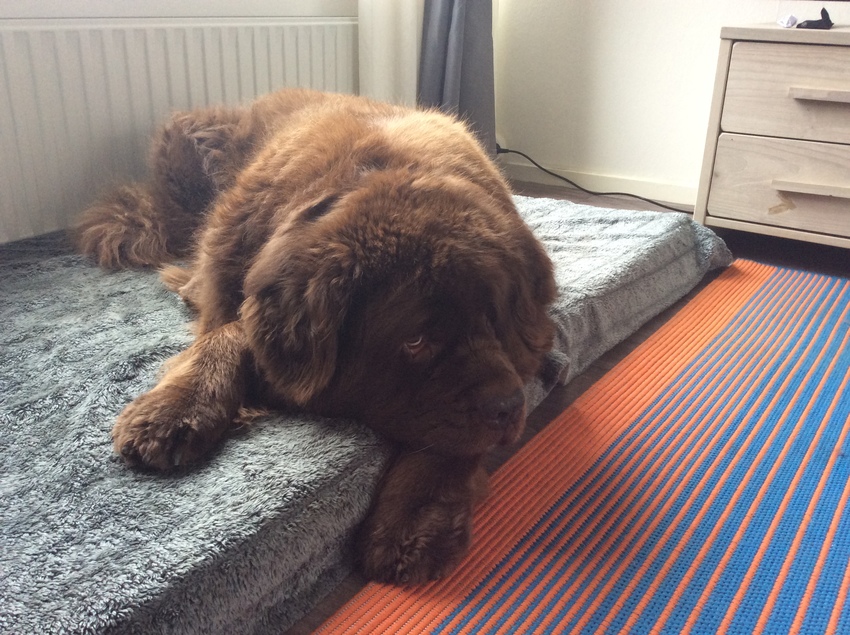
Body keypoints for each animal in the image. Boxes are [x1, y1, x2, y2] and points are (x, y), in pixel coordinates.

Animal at [75, 89, 556, 585]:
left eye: (493, 322)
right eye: (416, 341)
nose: (507, 408)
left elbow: (453, 437)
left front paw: (415, 521)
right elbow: (227, 333)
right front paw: (173, 410)